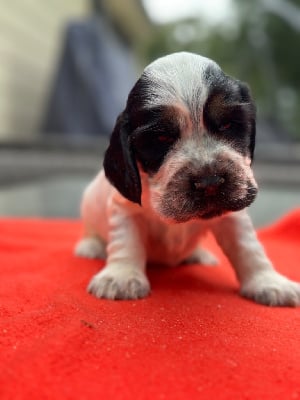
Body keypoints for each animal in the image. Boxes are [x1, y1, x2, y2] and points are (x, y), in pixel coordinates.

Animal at [75, 50, 300, 306]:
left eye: (227, 124)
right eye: (161, 138)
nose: (210, 182)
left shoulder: (233, 214)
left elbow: (248, 247)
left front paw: (269, 282)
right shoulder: (125, 209)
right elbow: (126, 240)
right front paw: (122, 277)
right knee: (91, 229)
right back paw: (91, 246)